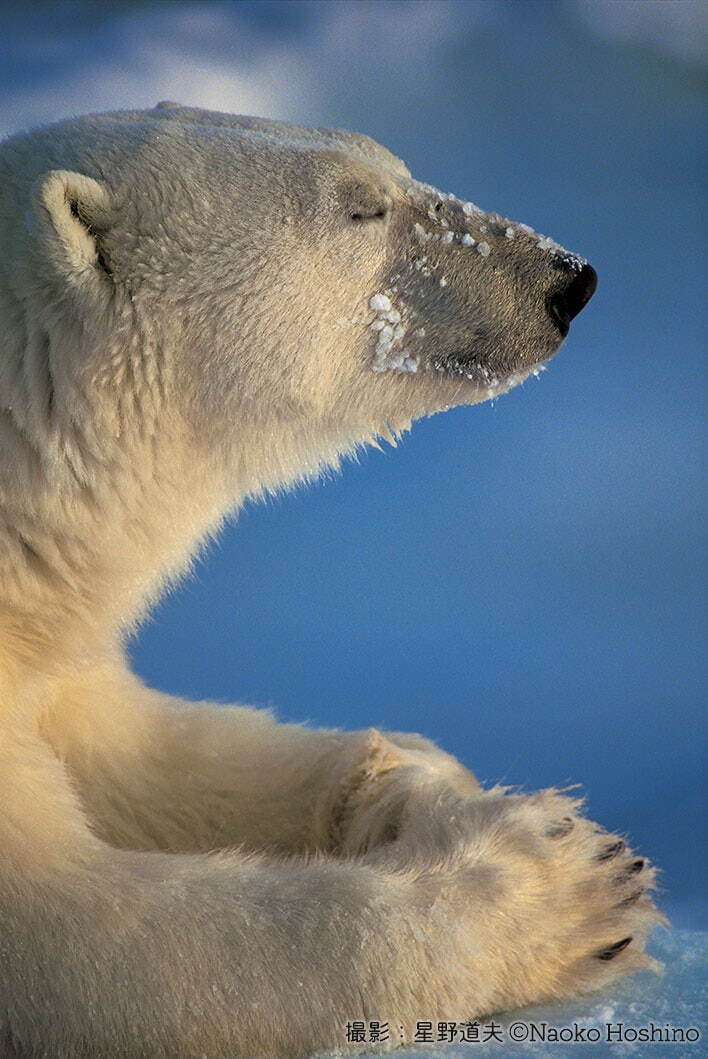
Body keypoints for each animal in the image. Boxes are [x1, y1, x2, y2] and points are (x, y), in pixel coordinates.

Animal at [1, 105, 664, 1059]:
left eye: (393, 167)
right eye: (360, 210)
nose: (566, 280)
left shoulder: (53, 651)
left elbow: (151, 753)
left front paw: (416, 784)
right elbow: (96, 940)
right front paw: (565, 881)